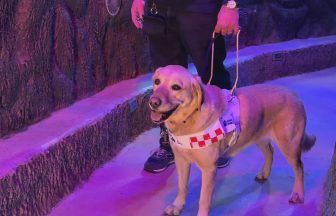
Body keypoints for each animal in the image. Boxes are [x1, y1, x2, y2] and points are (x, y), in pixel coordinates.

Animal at [149, 65, 316, 215]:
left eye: (176, 87)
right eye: (157, 81)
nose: (153, 102)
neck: (189, 119)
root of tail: (295, 95)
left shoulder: (209, 169)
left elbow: (203, 199)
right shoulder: (181, 161)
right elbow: (182, 187)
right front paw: (177, 206)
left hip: (289, 145)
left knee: (299, 167)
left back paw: (298, 194)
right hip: (258, 136)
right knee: (270, 152)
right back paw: (264, 173)